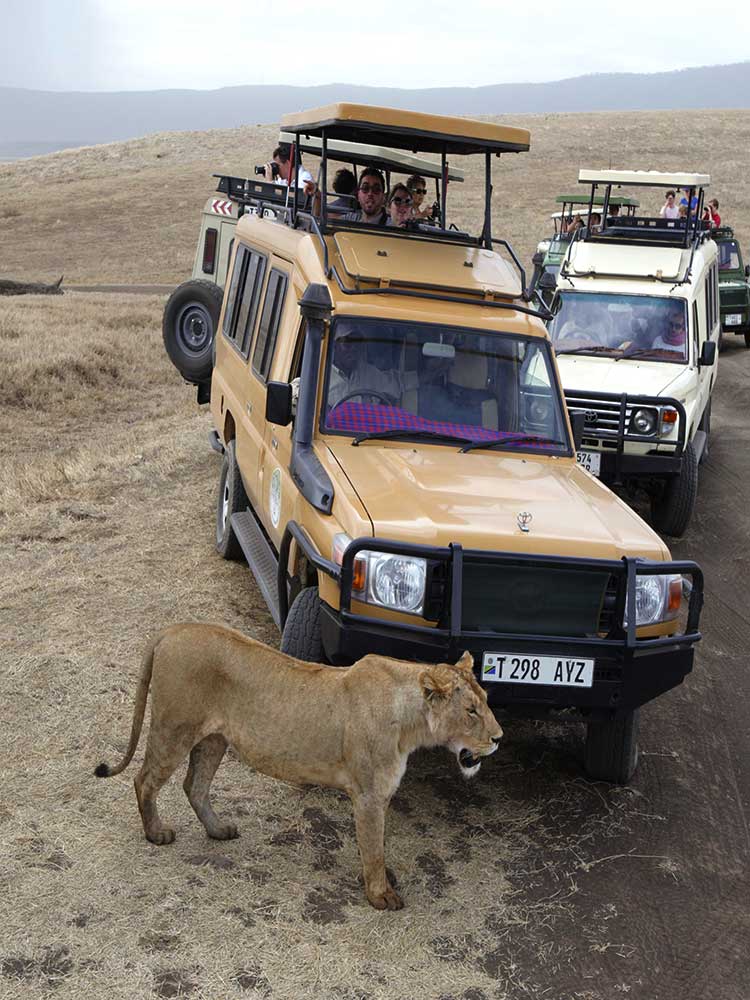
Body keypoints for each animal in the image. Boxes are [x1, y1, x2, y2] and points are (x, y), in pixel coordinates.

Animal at [95, 624, 503, 910]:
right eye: (471, 710)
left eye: (486, 699)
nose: (499, 738)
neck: (411, 722)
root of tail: (172, 629)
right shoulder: (369, 794)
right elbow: (373, 846)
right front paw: (380, 895)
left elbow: (378, 843)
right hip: (174, 727)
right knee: (145, 779)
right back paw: (156, 834)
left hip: (214, 739)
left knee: (193, 785)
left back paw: (218, 830)